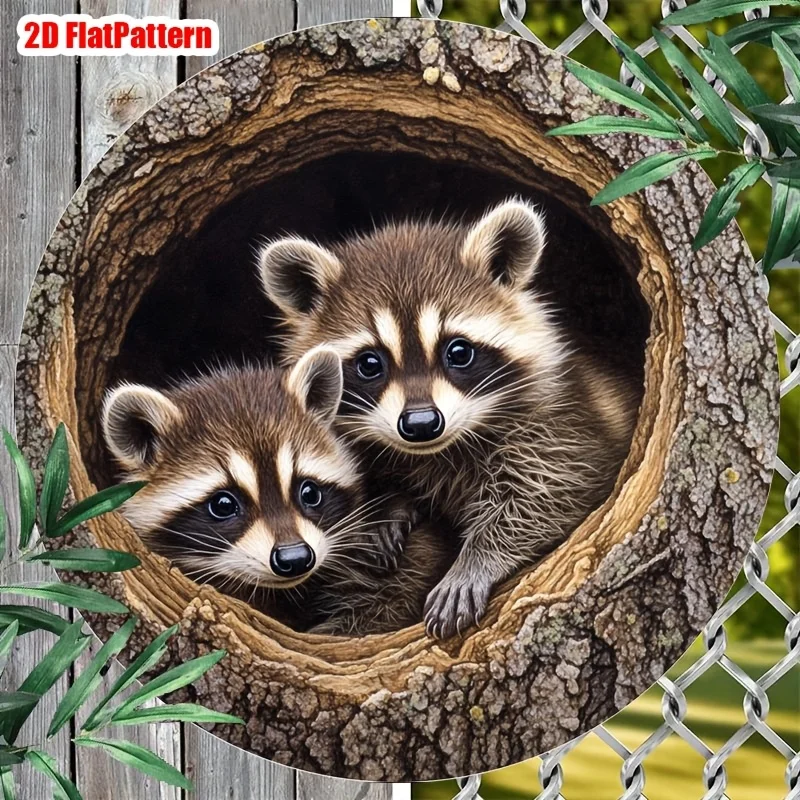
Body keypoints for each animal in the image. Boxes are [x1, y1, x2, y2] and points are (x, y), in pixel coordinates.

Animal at [258, 199, 642, 639]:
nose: (421, 424)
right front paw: (391, 503)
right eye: (370, 363)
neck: (434, 451)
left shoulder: (559, 426)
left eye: (458, 352)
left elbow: (548, 493)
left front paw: (477, 558)